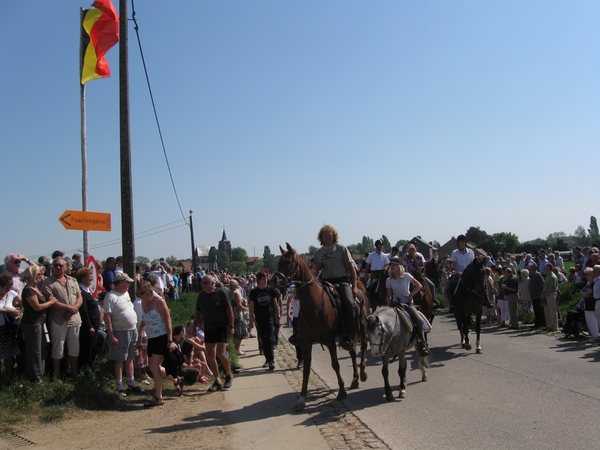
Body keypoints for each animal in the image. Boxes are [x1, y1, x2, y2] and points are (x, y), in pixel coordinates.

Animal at [274, 243, 370, 412]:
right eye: (279, 261)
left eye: (288, 262)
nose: (273, 280)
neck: (313, 303)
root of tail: (359, 289)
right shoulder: (306, 341)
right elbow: (306, 368)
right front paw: (302, 398)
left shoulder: (330, 340)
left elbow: (335, 364)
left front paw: (341, 390)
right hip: (349, 335)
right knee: (352, 351)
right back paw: (355, 379)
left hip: (362, 328)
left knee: (363, 347)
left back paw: (363, 373)